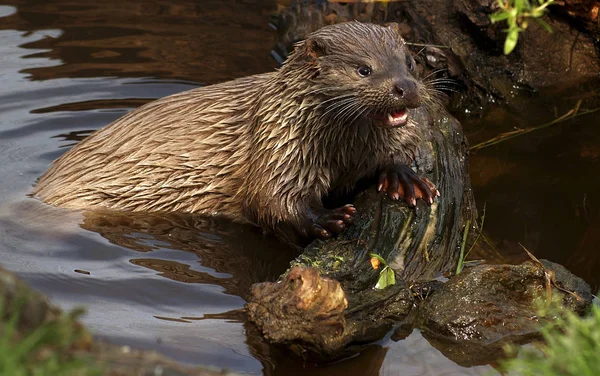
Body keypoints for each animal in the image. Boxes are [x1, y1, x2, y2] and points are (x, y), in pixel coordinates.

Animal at [35, 21, 438, 241]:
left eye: (410, 62)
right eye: (364, 69)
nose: (405, 87)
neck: (346, 152)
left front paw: (406, 178)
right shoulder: (278, 144)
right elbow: (269, 199)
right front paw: (327, 218)